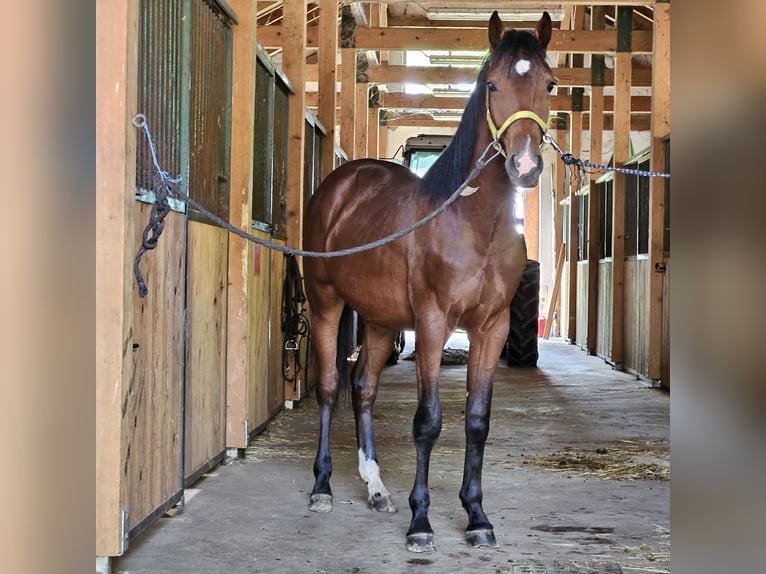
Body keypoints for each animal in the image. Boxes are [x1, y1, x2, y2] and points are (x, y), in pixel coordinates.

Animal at [302, 11, 555, 553]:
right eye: (492, 83)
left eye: (549, 83)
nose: (524, 167)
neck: (473, 222)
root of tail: (341, 185)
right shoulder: (434, 325)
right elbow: (428, 422)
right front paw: (421, 522)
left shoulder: (492, 328)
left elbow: (477, 421)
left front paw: (477, 517)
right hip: (327, 303)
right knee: (331, 388)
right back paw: (322, 487)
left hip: (379, 320)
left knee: (364, 390)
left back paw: (376, 489)